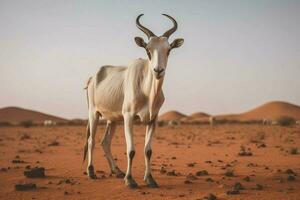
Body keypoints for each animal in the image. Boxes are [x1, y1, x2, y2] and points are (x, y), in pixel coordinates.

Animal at [83, 13, 184, 188]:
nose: (158, 70)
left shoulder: (152, 120)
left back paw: (117, 171)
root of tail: (93, 78)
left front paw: (150, 179)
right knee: (91, 141)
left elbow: (148, 150)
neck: (146, 90)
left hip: (113, 120)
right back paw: (91, 172)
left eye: (168, 50)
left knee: (105, 142)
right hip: (94, 114)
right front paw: (130, 181)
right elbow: (131, 150)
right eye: (148, 50)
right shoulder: (129, 117)